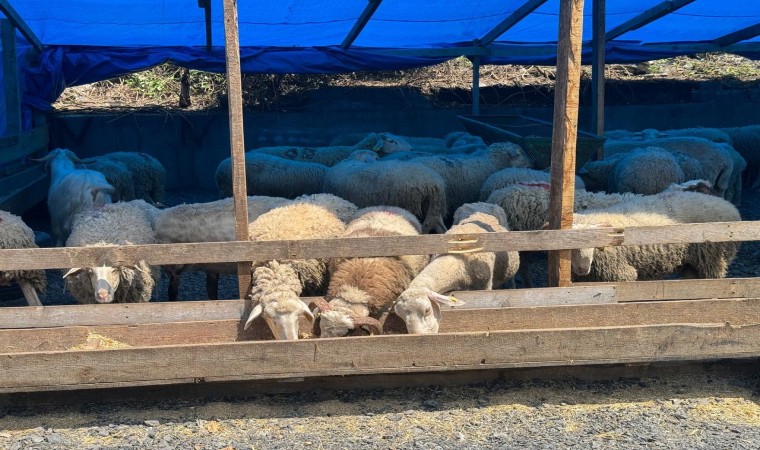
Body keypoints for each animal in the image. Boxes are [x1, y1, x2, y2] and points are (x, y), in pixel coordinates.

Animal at [392, 203, 524, 334]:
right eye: (401, 317)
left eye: (427, 310)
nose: (417, 336)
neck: (457, 260)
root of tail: (480, 204)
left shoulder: (484, 287)